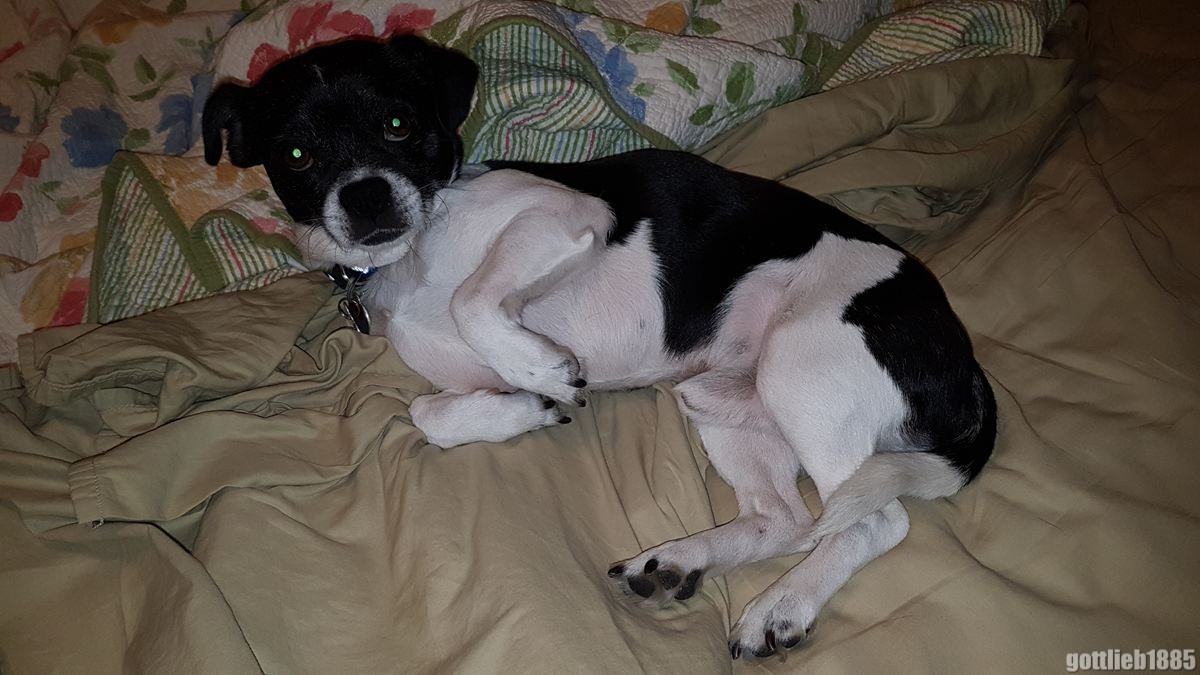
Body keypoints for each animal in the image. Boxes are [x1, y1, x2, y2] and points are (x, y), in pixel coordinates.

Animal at [203, 35, 996, 659]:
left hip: (801, 373)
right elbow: (428, 414)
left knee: (872, 520)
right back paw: (678, 561)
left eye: (398, 125)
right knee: (785, 519)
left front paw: (539, 368)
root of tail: (960, 353)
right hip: (721, 400)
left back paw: (783, 604)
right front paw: (523, 404)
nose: (365, 197)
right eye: (296, 154)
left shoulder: (564, 214)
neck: (414, 255)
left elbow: (475, 300)